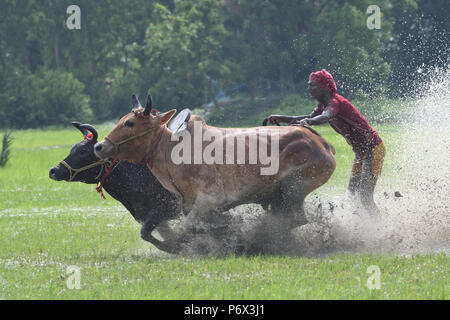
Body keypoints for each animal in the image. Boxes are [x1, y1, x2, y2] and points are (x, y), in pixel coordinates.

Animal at [94, 94, 334, 251]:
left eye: (130, 123)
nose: (99, 146)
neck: (172, 151)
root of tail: (322, 142)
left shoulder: (209, 200)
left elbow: (190, 227)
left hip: (294, 187)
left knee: (293, 219)